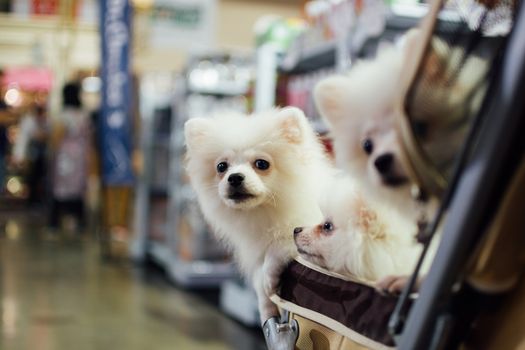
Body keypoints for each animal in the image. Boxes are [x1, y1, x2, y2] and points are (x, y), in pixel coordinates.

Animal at [184, 106, 332, 322]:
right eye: (221, 167)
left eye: (262, 164)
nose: (234, 177)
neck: (265, 212)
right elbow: (259, 284)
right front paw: (266, 304)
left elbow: (279, 246)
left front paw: (268, 278)